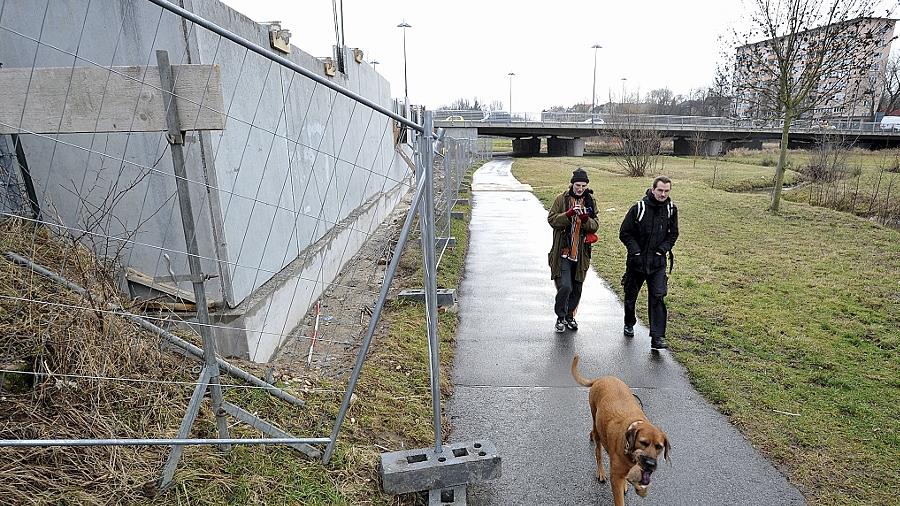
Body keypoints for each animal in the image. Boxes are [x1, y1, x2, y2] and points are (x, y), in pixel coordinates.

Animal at [568, 354, 668, 504]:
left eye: (659, 447)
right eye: (643, 442)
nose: (650, 464)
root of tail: (601, 378)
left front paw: (626, 483)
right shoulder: (615, 478)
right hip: (596, 423)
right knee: (598, 451)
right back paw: (601, 471)